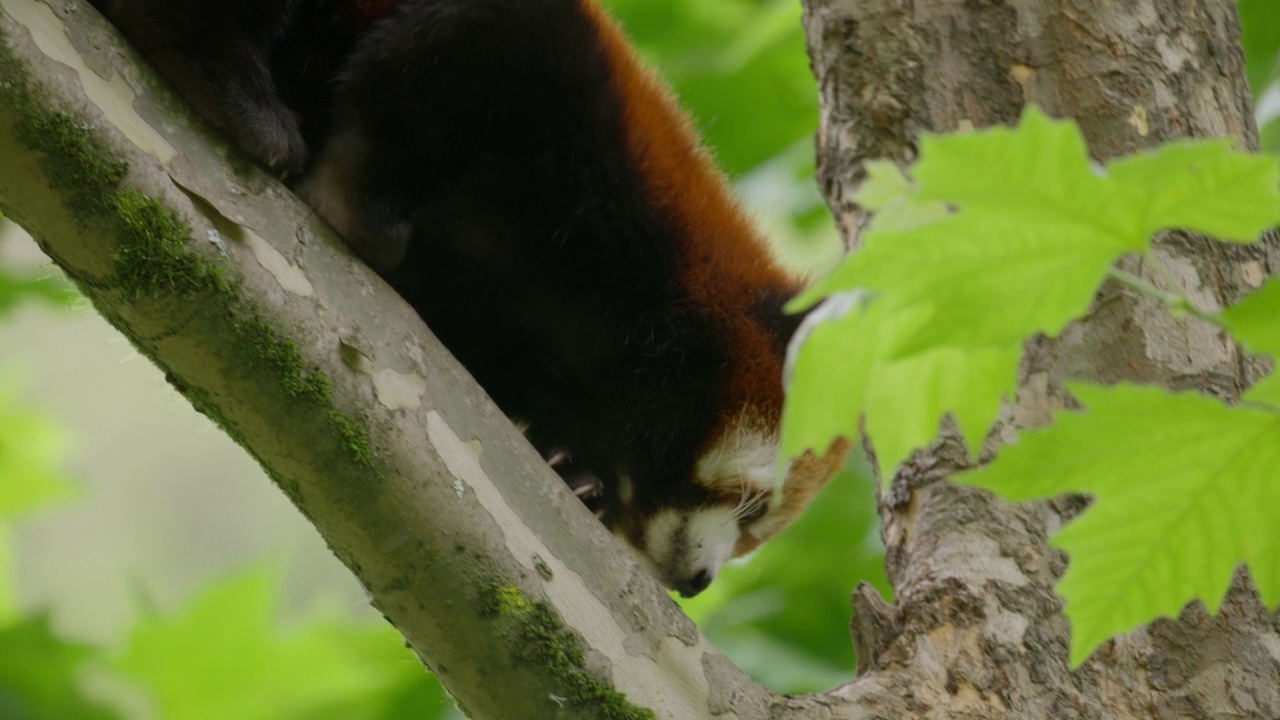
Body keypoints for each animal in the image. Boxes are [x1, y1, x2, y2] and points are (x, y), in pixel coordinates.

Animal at [92, 0, 849, 594]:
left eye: (754, 530)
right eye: (751, 506)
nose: (698, 584)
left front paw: (575, 472)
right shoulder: (577, 105)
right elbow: (439, 60)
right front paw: (354, 206)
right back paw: (234, 92)